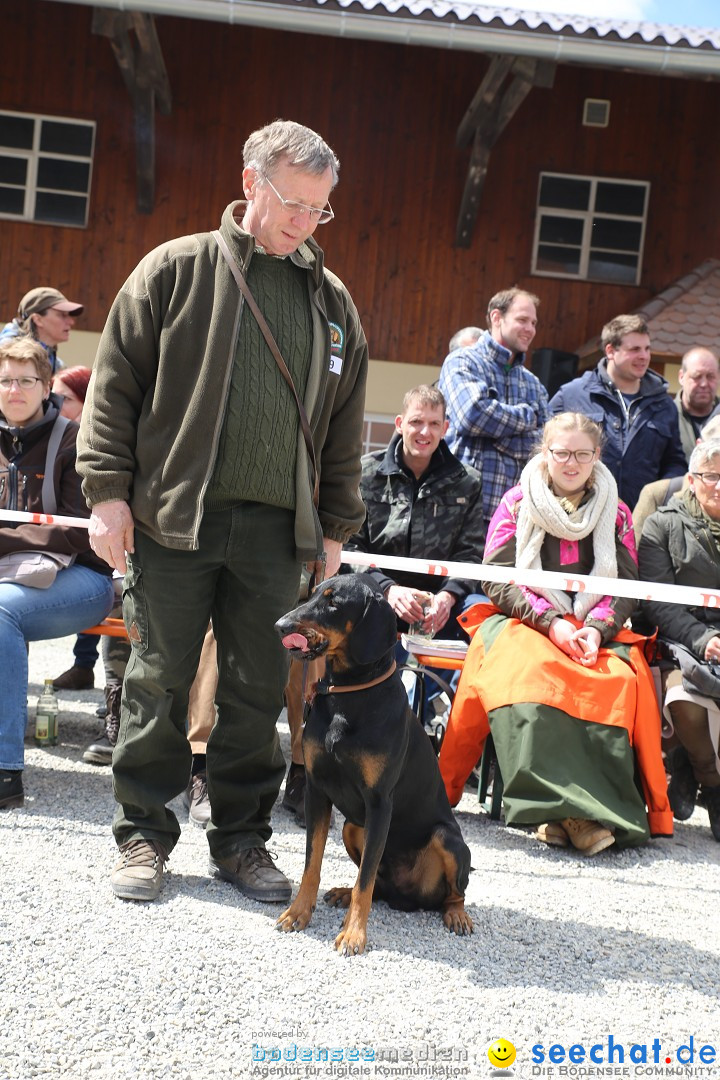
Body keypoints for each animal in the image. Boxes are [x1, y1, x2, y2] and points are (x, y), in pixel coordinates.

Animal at [274, 574, 472, 954]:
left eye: (334, 603)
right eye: (315, 593)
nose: (280, 625)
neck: (348, 695)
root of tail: (407, 897)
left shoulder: (380, 803)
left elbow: (364, 881)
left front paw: (353, 934)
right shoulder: (317, 792)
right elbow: (312, 864)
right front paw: (298, 913)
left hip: (448, 839)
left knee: (452, 893)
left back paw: (457, 915)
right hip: (353, 827)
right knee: (376, 882)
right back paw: (342, 892)